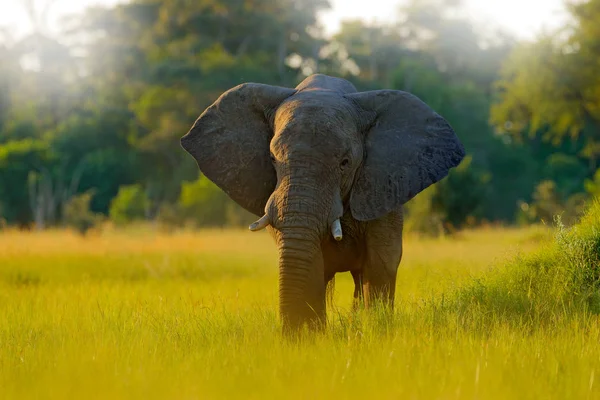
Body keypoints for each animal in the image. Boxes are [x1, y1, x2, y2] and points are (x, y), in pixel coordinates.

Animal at [180, 73, 466, 332]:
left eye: (345, 163)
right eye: (272, 158)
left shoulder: (382, 184)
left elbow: (381, 262)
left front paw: (374, 331)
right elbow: (311, 263)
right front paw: (311, 339)